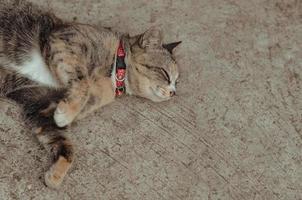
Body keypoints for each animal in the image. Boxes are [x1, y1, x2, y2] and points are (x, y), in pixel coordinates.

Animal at [0, 0, 180, 189]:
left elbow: (64, 144)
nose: (173, 92)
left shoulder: (40, 104)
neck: (114, 74)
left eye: (177, 82)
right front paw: (66, 113)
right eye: (166, 74)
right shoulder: (64, 41)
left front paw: (55, 174)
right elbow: (83, 83)